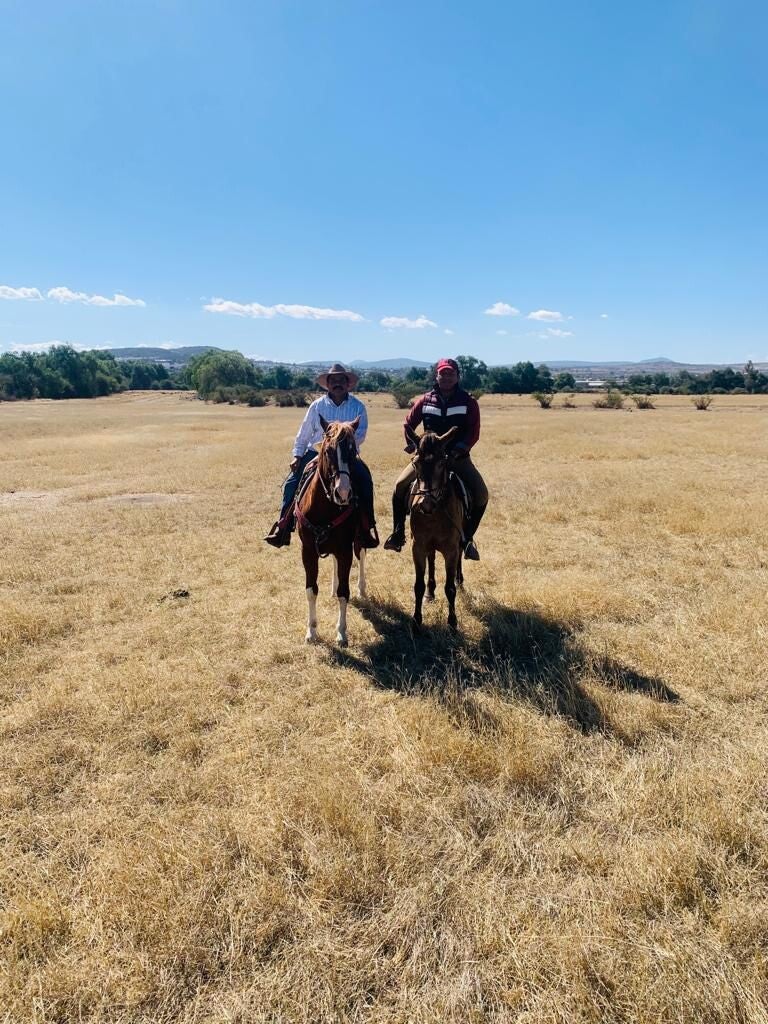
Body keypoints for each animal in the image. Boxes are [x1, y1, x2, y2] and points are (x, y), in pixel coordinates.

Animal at [294, 416, 367, 646]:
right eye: (327, 451)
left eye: (352, 451)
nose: (342, 493)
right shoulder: (308, 551)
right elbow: (311, 590)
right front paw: (311, 631)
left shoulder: (345, 550)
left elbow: (345, 592)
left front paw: (341, 633)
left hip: (359, 539)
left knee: (362, 555)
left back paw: (362, 588)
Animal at [407, 426, 465, 631]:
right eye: (416, 463)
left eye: (442, 463)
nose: (426, 504)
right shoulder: (418, 547)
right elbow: (418, 585)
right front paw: (416, 620)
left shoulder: (451, 550)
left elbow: (449, 588)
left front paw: (453, 622)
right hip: (429, 547)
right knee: (431, 561)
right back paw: (431, 592)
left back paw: (460, 580)